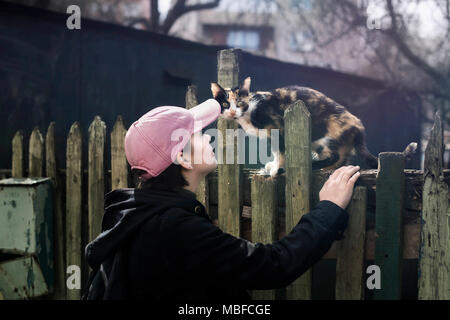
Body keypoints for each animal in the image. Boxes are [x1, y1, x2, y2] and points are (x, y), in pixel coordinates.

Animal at [210, 77, 414, 178]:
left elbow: (280, 151)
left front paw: (276, 170)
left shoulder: (278, 127)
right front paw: (273, 166)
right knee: (342, 159)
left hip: (326, 137)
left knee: (336, 156)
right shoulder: (271, 134)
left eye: (240, 102)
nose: (232, 112)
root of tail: (359, 129)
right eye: (226, 104)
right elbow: (276, 152)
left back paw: (314, 165)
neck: (250, 111)